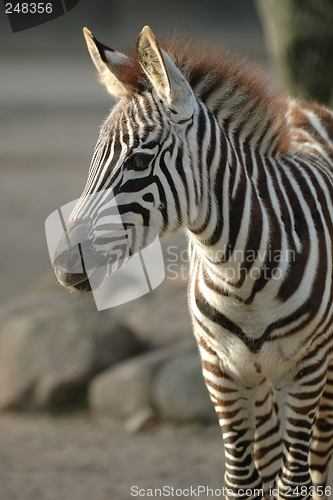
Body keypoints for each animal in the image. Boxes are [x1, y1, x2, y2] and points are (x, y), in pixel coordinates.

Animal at [52, 26, 333, 496]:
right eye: (95, 158)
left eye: (139, 160)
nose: (62, 266)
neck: (241, 278)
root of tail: (309, 104)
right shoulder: (220, 371)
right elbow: (242, 479)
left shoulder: (308, 371)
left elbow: (295, 479)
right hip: (258, 380)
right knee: (268, 457)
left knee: (317, 460)